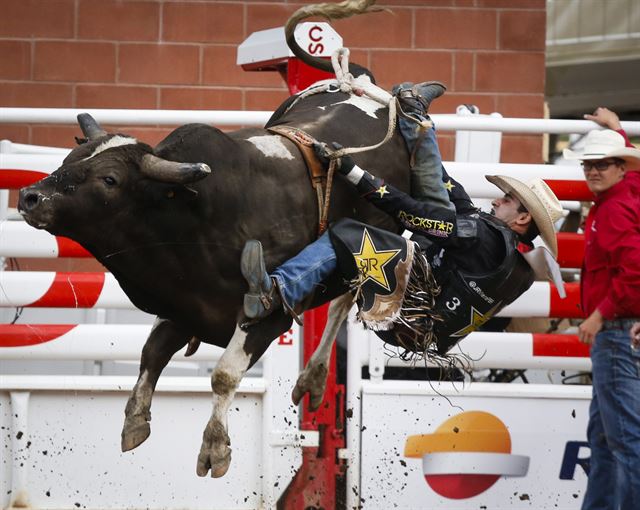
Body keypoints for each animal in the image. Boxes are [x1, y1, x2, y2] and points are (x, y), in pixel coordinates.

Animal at [18, 0, 404, 478]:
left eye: (109, 179)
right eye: (70, 157)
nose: (30, 196)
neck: (192, 213)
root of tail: (360, 83)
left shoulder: (270, 314)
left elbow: (223, 373)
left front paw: (215, 448)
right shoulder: (182, 304)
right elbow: (151, 352)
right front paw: (135, 421)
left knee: (343, 301)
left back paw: (312, 378)